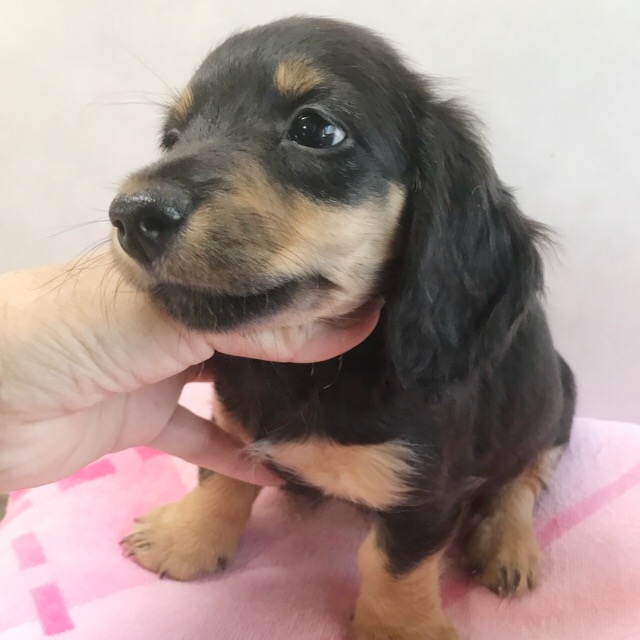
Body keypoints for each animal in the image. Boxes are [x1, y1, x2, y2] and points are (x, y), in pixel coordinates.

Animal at [110, 16, 576, 640]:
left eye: (316, 129)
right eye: (173, 136)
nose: (132, 215)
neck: (310, 372)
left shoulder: (424, 491)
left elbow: (392, 565)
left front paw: (398, 629)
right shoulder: (232, 427)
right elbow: (221, 481)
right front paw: (186, 538)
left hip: (556, 406)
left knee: (523, 480)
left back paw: (508, 544)